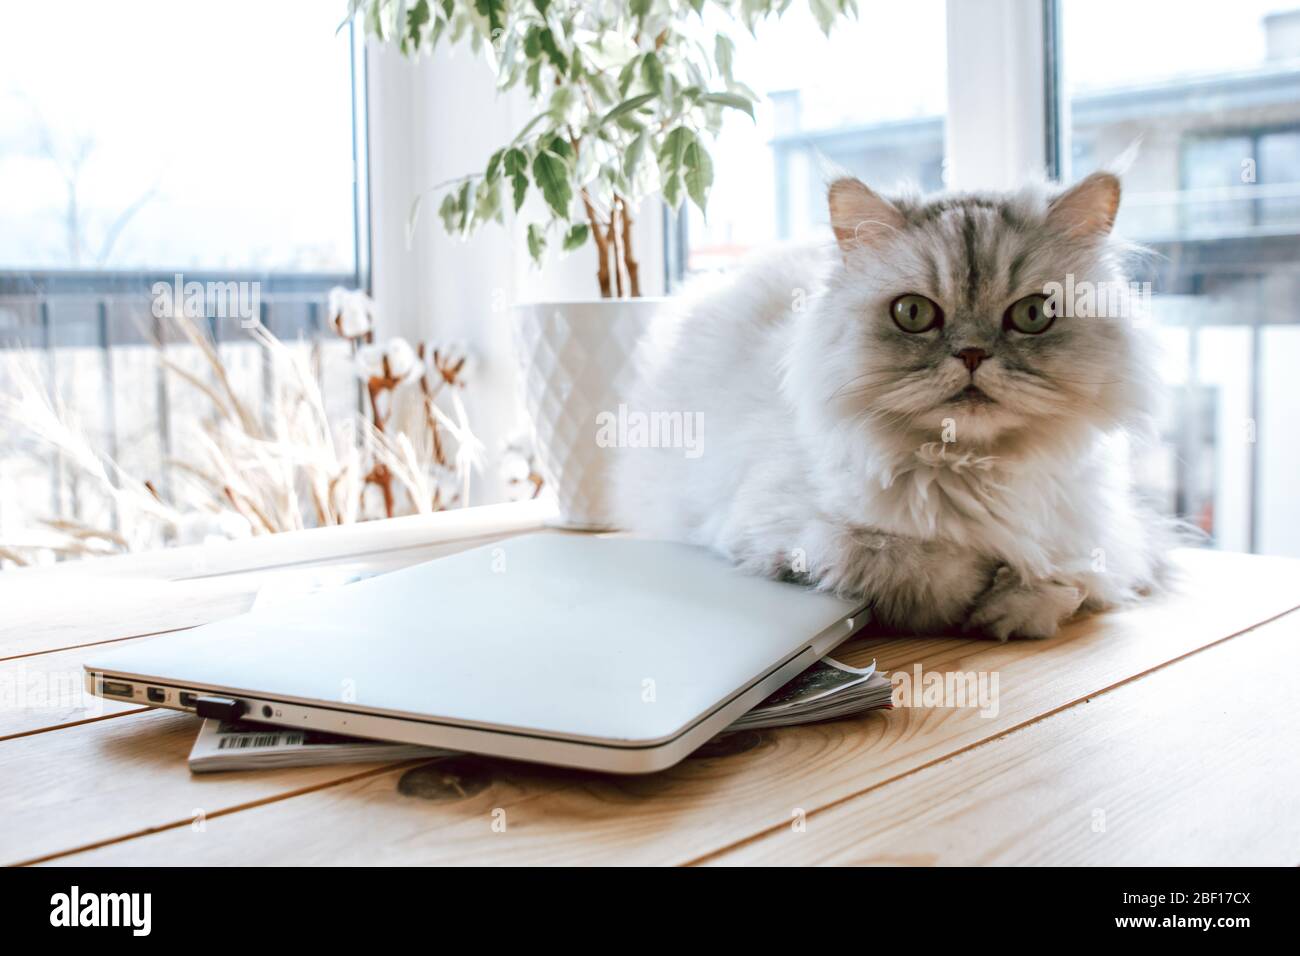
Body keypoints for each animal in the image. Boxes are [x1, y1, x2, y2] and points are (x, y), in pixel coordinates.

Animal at [608, 174, 1170, 634]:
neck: (974, 469)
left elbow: (1064, 580)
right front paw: (981, 586)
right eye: (913, 313)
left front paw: (1012, 602)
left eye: (1033, 314)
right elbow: (925, 566)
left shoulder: (1109, 538)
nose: (972, 354)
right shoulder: (796, 535)